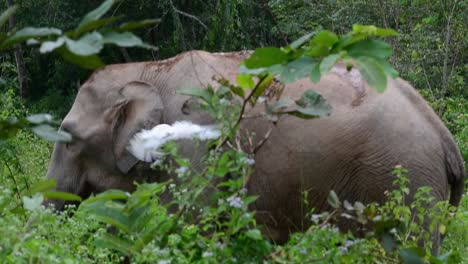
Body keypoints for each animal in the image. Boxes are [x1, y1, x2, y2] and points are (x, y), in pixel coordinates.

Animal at [44, 50, 464, 254]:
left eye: (68, 135)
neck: (150, 69)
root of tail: (445, 137)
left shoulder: (197, 147)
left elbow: (191, 226)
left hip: (407, 180)